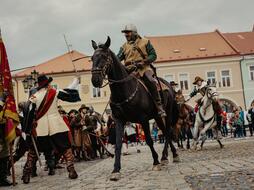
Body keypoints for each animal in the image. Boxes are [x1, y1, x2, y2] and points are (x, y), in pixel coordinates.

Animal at [90, 36, 180, 180]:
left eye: (104, 56)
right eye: (92, 58)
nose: (95, 80)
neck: (124, 90)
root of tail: (169, 86)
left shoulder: (143, 119)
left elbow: (149, 140)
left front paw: (155, 162)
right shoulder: (119, 120)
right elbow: (118, 144)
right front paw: (116, 170)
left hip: (167, 113)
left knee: (168, 131)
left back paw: (169, 156)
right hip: (157, 117)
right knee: (165, 132)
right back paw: (166, 156)